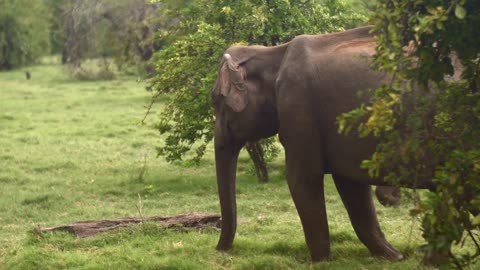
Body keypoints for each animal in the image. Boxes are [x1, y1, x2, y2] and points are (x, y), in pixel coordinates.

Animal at [210, 25, 436, 262]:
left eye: (216, 100)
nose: (220, 249)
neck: (272, 53)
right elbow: (352, 187)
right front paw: (393, 257)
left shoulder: (299, 111)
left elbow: (302, 180)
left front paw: (320, 261)